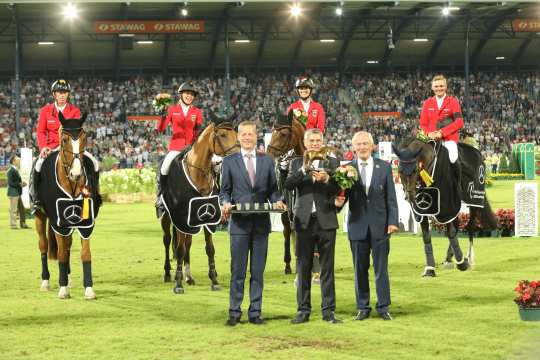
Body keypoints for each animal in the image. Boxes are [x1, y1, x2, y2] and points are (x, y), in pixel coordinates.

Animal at [34, 112, 102, 298]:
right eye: (64, 139)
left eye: (84, 137)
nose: (76, 174)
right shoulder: (58, 223)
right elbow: (61, 254)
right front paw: (63, 289)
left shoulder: (86, 222)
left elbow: (85, 254)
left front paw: (89, 289)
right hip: (40, 217)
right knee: (44, 245)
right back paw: (46, 281)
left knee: (68, 245)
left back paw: (69, 278)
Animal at [158, 114, 238, 294]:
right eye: (222, 135)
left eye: (236, 133)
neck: (198, 172)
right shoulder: (180, 216)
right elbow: (179, 250)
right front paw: (178, 284)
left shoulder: (208, 216)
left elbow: (209, 249)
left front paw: (214, 280)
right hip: (167, 217)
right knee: (167, 241)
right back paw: (168, 274)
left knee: (187, 243)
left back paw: (188, 276)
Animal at [392, 135, 498, 278]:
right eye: (400, 171)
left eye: (415, 170)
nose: (410, 197)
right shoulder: (422, 210)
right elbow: (427, 236)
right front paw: (430, 269)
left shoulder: (447, 207)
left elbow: (451, 232)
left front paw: (462, 263)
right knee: (459, 225)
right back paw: (449, 258)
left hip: (473, 201)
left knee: (470, 226)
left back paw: (469, 259)